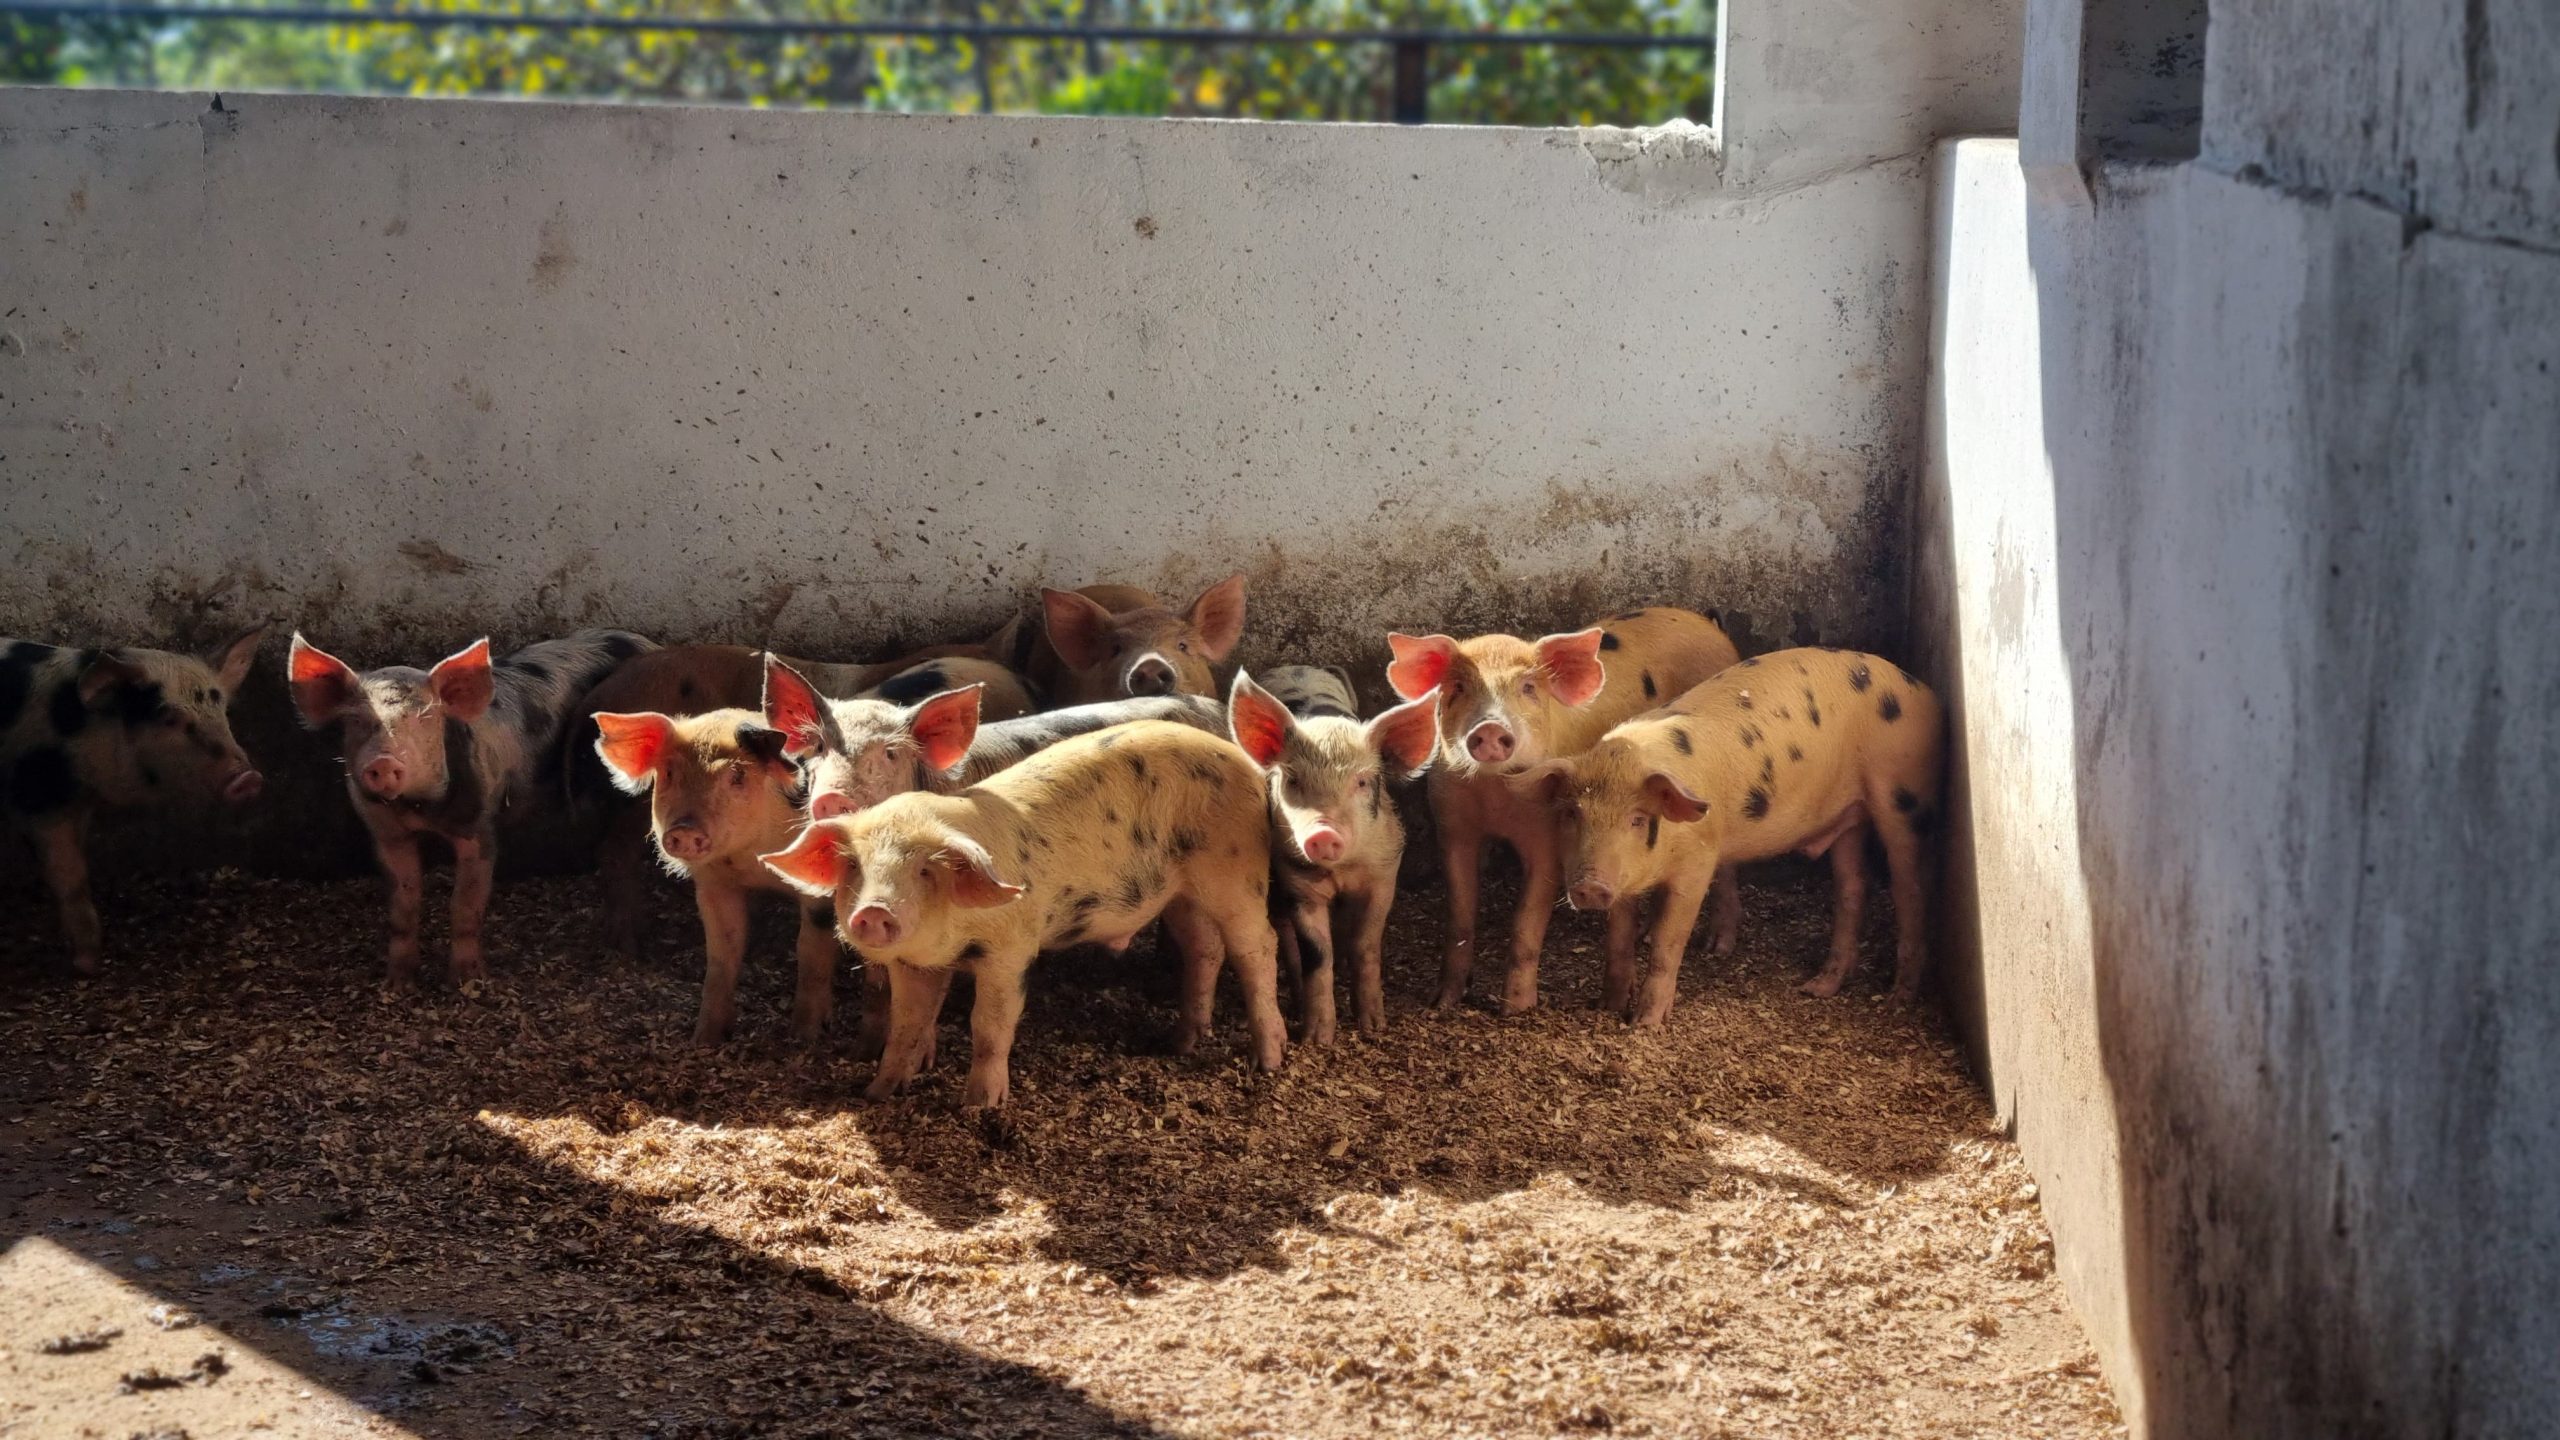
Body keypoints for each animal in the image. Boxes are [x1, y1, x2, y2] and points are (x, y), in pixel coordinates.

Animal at [0, 630, 270, 973]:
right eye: (168, 718)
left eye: (223, 713)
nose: (249, 778)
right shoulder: (38, 797)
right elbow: (69, 873)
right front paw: (87, 963)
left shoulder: (79, 804)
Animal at [290, 627, 655, 983]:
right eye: (356, 720)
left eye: (425, 719)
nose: (382, 761)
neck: (419, 808)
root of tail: (645, 642)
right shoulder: (387, 834)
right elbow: (403, 907)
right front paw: (397, 984)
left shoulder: (479, 827)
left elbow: (465, 904)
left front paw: (467, 984)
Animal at [1223, 666, 1433, 1035]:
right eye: (1293, 781)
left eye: (1362, 782)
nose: (1323, 832)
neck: (1343, 871)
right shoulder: (1298, 882)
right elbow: (1318, 954)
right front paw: (1317, 1036)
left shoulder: (1384, 875)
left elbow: (1365, 944)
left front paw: (1373, 1026)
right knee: (1287, 936)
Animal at [1505, 645, 1945, 1014]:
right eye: (1573, 813)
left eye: (1637, 819)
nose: (1590, 886)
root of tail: (1922, 689)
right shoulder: (1625, 878)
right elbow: (1618, 940)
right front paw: (1608, 1008)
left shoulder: (1699, 863)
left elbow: (1667, 943)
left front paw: (1645, 1024)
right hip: (1848, 816)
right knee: (1853, 888)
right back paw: (1817, 988)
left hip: (1903, 798)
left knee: (1911, 889)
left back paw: (1897, 1000)